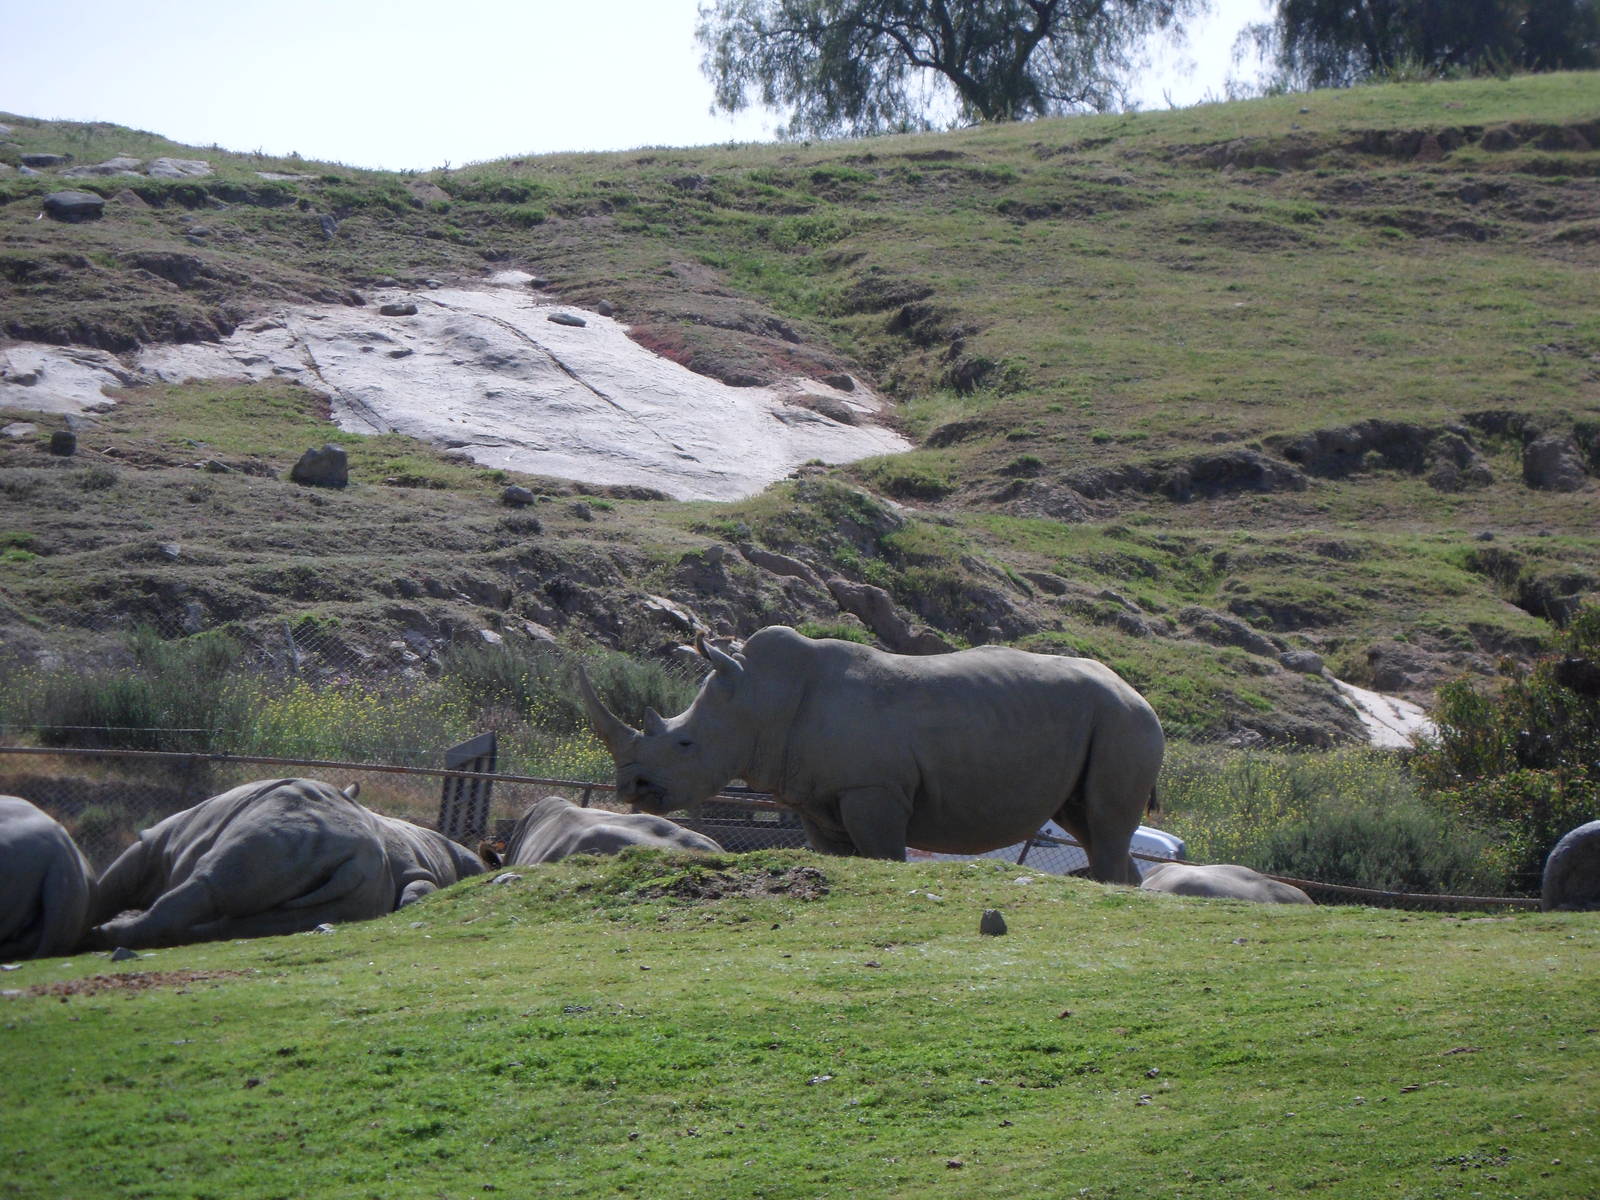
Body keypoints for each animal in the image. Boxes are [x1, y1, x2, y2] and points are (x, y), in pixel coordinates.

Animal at [86, 778, 484, 949]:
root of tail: (362, 856)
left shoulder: (151, 845)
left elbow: (112, 884)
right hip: (358, 881)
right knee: (249, 920)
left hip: (287, 828)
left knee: (212, 883)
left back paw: (99, 936)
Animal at [579, 625, 1164, 883]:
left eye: (685, 744)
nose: (630, 789)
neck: (761, 697)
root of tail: (1136, 692)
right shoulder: (818, 798)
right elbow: (843, 856)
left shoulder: (874, 790)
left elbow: (884, 855)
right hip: (1105, 722)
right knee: (1086, 823)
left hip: (1126, 723)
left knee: (1104, 824)